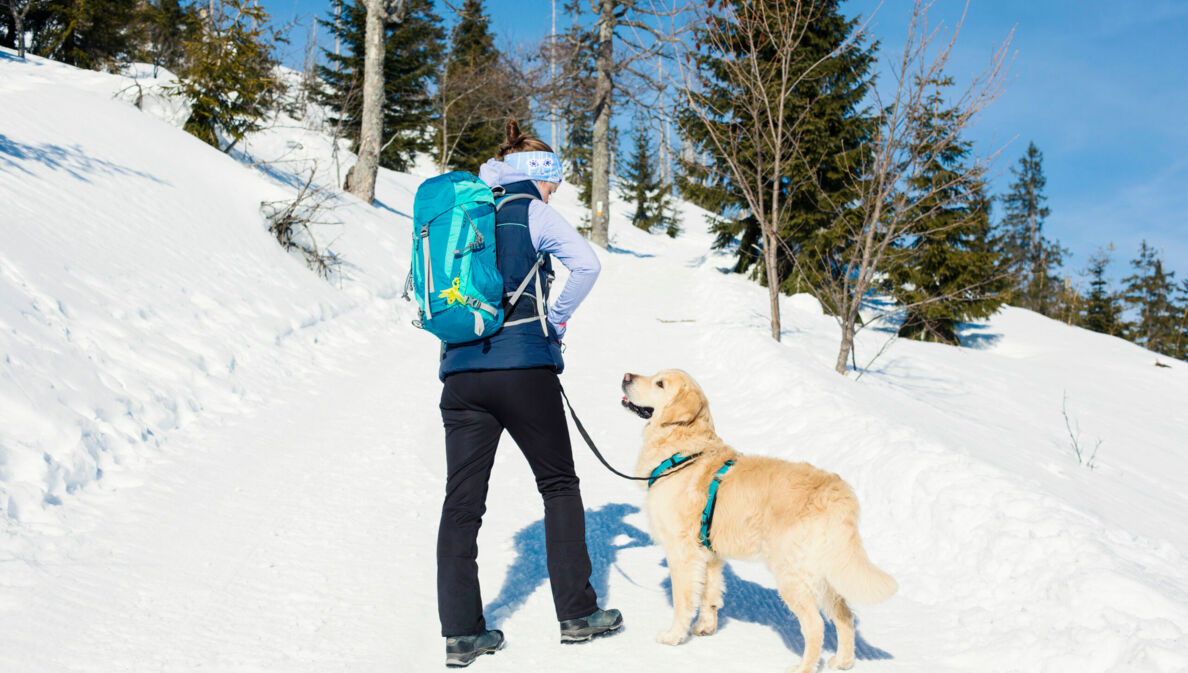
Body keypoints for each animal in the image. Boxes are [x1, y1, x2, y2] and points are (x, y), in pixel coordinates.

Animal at [622, 370, 893, 670]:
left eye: (660, 384)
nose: (626, 376)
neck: (684, 452)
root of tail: (837, 492)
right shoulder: (709, 554)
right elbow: (709, 594)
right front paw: (705, 627)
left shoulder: (682, 552)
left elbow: (684, 600)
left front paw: (673, 637)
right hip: (825, 572)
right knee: (845, 616)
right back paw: (843, 661)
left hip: (791, 574)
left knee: (816, 626)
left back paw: (803, 667)